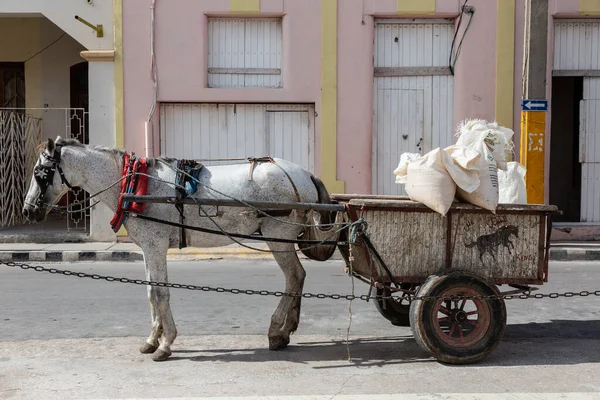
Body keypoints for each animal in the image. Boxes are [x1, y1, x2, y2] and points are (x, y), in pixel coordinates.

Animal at [22, 136, 338, 360]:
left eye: (40, 173)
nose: (27, 211)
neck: (134, 183)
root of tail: (304, 174)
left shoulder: (155, 244)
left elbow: (160, 293)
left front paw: (165, 343)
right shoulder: (148, 247)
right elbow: (151, 292)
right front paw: (152, 340)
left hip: (277, 235)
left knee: (294, 277)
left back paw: (276, 331)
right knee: (297, 278)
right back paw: (286, 330)